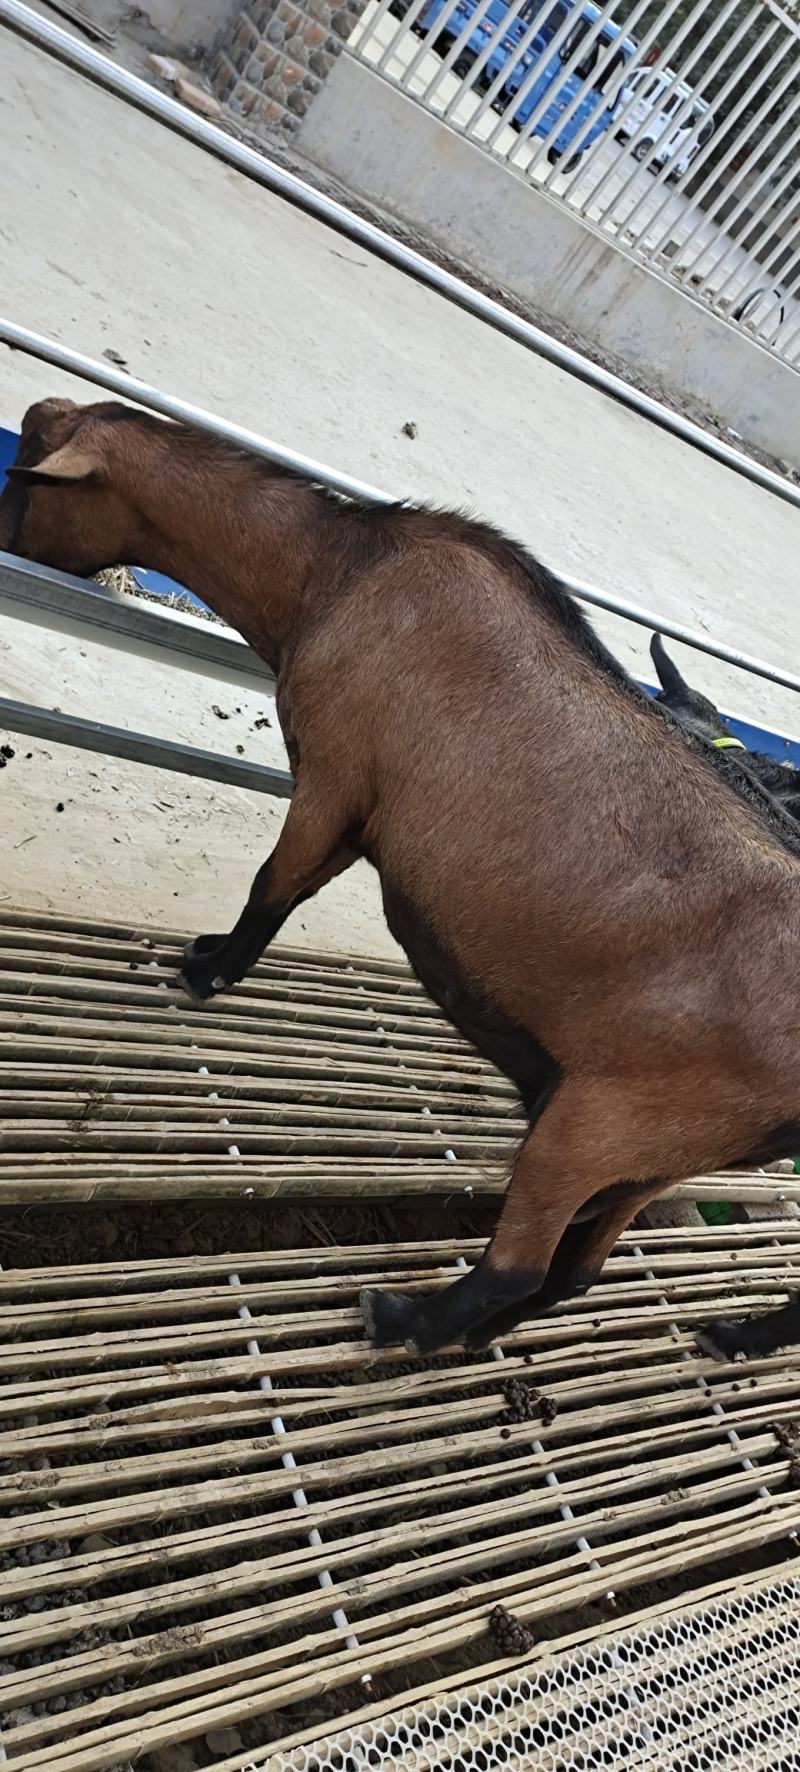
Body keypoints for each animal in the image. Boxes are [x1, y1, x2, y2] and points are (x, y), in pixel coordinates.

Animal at [2, 395, 798, 1362]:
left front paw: (204, 971)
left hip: (610, 1122)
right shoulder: (368, 811)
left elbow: (274, 885)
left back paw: (401, 1322)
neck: (338, 569)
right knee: (575, 1272)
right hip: (664, 1154)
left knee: (520, 1268)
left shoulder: (336, 770)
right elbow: (294, 888)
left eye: (23, 469)